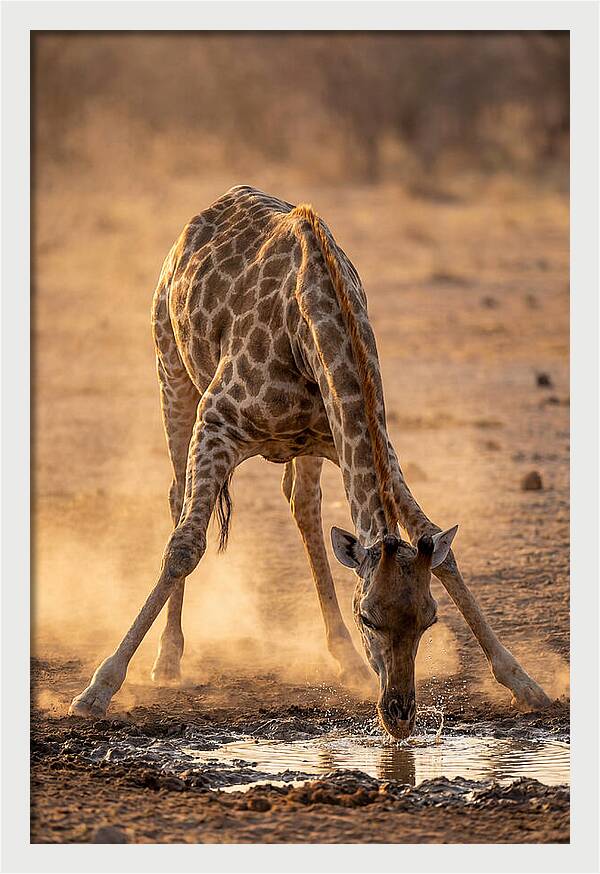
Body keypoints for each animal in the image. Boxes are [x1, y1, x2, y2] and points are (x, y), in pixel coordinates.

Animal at [69, 185, 551, 735]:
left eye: (428, 619)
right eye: (369, 617)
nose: (400, 715)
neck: (313, 326)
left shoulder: (363, 439)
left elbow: (440, 550)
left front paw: (524, 682)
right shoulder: (216, 423)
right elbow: (184, 548)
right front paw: (98, 688)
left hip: (305, 446)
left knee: (303, 505)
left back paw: (344, 659)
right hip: (171, 372)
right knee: (177, 500)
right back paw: (168, 660)